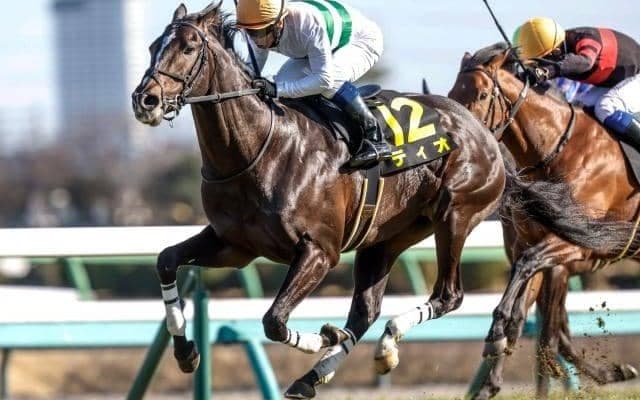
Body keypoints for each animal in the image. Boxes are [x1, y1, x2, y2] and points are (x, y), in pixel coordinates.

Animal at [130, 3, 510, 398]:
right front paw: (185, 351)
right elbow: (166, 260)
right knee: (365, 311)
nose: (145, 100)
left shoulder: (320, 251)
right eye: (153, 47)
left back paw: (384, 339)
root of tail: (479, 126)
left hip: (455, 214)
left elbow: (274, 320)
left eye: (189, 48)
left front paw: (325, 336)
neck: (260, 148)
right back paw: (334, 368)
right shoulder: (234, 245)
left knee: (449, 294)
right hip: (385, 238)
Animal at [448, 43, 639, 398]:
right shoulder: (537, 245)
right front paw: (490, 380)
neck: (559, 151)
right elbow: (525, 314)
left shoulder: (575, 246)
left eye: (482, 95)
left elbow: (543, 326)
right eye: (452, 93)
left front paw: (497, 334)